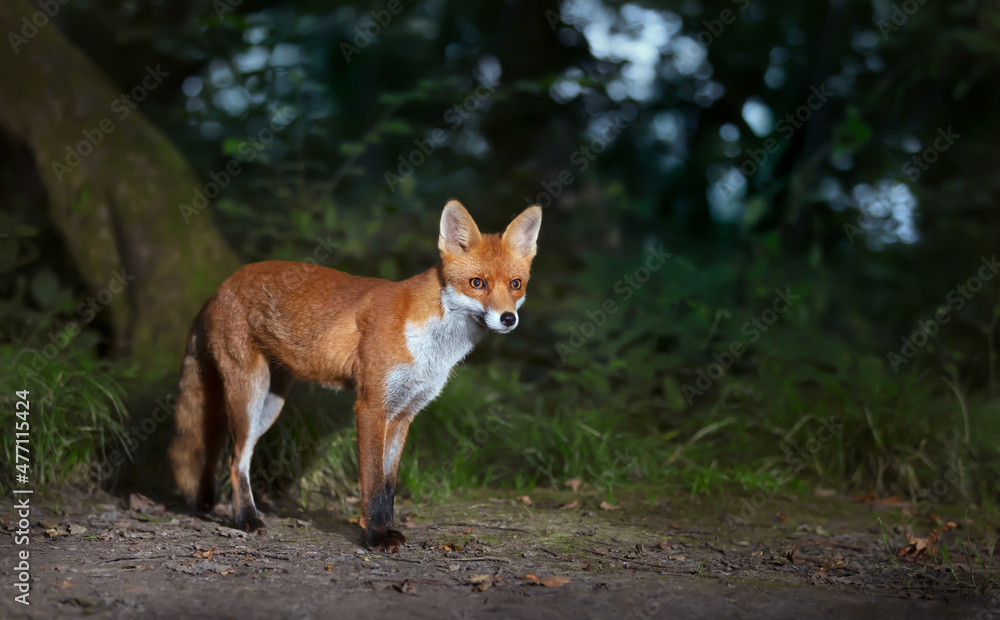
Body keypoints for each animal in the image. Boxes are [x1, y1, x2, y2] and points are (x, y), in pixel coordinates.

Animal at [168, 200, 541, 552]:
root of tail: (221, 287)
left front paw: (388, 530)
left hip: (270, 405)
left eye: (516, 285)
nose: (508, 319)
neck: (434, 343)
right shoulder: (371, 407)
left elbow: (388, 486)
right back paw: (247, 519)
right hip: (249, 394)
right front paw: (376, 538)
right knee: (236, 461)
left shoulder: (404, 412)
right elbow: (372, 483)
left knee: (230, 456)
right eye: (477, 283)